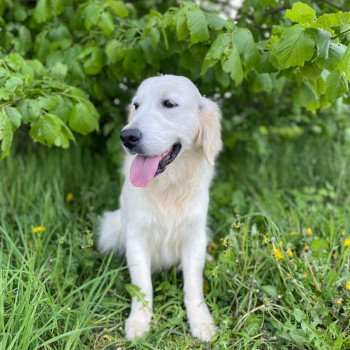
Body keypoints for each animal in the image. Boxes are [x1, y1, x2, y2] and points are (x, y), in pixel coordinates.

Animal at [97, 74, 221, 342]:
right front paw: (139, 322)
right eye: (136, 105)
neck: (168, 186)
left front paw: (201, 320)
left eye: (169, 104)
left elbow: (193, 285)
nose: (127, 136)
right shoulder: (136, 237)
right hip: (112, 227)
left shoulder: (194, 236)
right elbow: (142, 285)